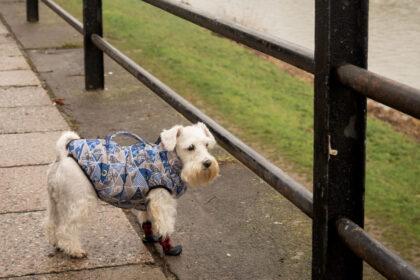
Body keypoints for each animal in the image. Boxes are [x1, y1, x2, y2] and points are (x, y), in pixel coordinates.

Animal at [46, 122, 220, 258]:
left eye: (206, 145)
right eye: (190, 148)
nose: (207, 163)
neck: (168, 160)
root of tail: (63, 155)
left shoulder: (148, 202)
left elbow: (148, 222)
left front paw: (150, 239)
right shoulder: (163, 203)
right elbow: (165, 227)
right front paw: (169, 248)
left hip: (55, 202)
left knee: (51, 223)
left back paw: (57, 243)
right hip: (79, 203)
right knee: (66, 229)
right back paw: (74, 250)